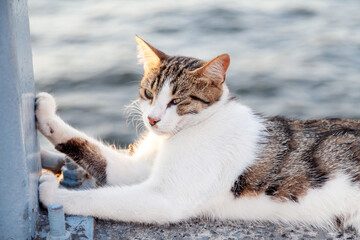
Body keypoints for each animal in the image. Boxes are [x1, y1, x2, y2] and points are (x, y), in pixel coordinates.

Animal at [37, 35, 360, 231]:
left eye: (177, 101)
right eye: (149, 93)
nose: (152, 119)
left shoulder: (164, 198)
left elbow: (97, 199)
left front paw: (53, 193)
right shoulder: (134, 169)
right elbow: (89, 149)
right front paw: (46, 114)